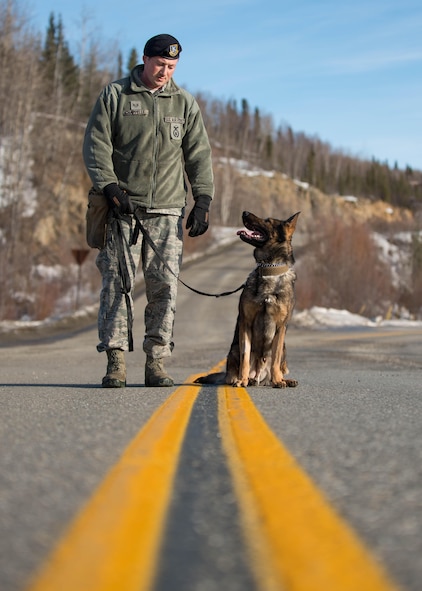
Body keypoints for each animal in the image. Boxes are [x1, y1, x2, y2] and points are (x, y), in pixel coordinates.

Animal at [197, 209, 300, 388]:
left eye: (268, 221)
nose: (244, 212)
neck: (269, 270)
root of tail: (260, 376)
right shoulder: (246, 323)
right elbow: (245, 358)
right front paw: (242, 380)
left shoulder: (281, 327)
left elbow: (275, 359)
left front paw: (278, 380)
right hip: (234, 350)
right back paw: (248, 379)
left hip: (284, 348)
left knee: (277, 363)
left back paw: (283, 379)